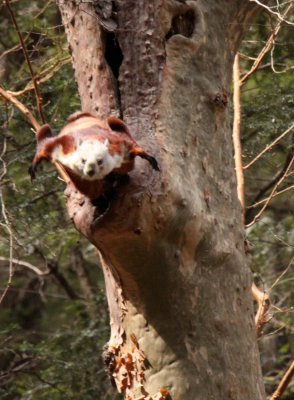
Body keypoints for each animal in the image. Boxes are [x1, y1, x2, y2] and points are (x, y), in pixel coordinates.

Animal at [28, 111, 160, 199]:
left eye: (100, 161)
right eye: (83, 160)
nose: (90, 171)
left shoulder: (118, 145)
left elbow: (131, 145)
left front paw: (147, 157)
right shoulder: (62, 146)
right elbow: (44, 141)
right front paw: (34, 166)